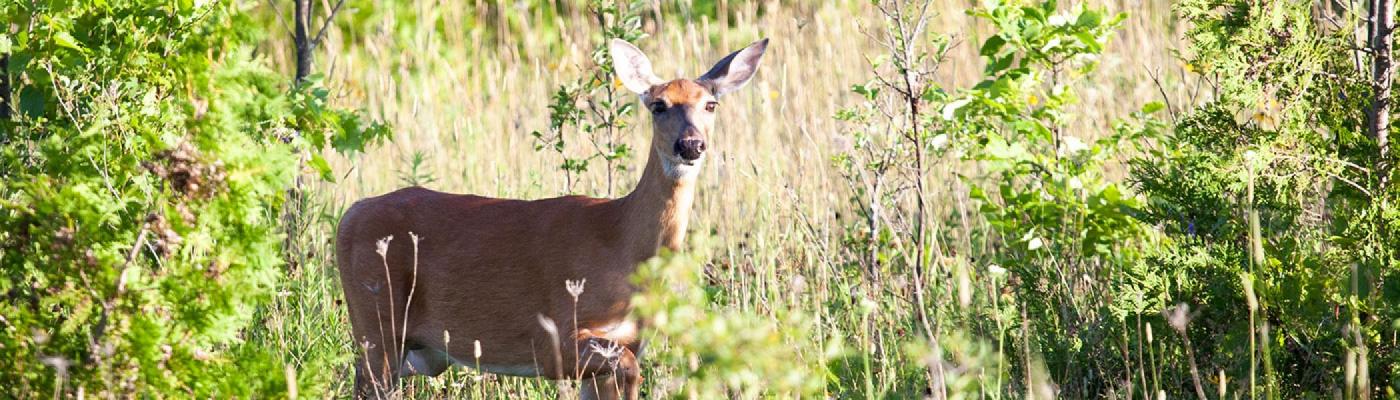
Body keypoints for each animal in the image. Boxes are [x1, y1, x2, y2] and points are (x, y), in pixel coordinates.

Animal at [334, 38, 768, 399]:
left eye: (710, 104)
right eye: (658, 105)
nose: (691, 144)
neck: (621, 241)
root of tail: (349, 215)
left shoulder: (628, 341)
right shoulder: (554, 337)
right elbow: (627, 368)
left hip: (412, 349)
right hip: (377, 320)